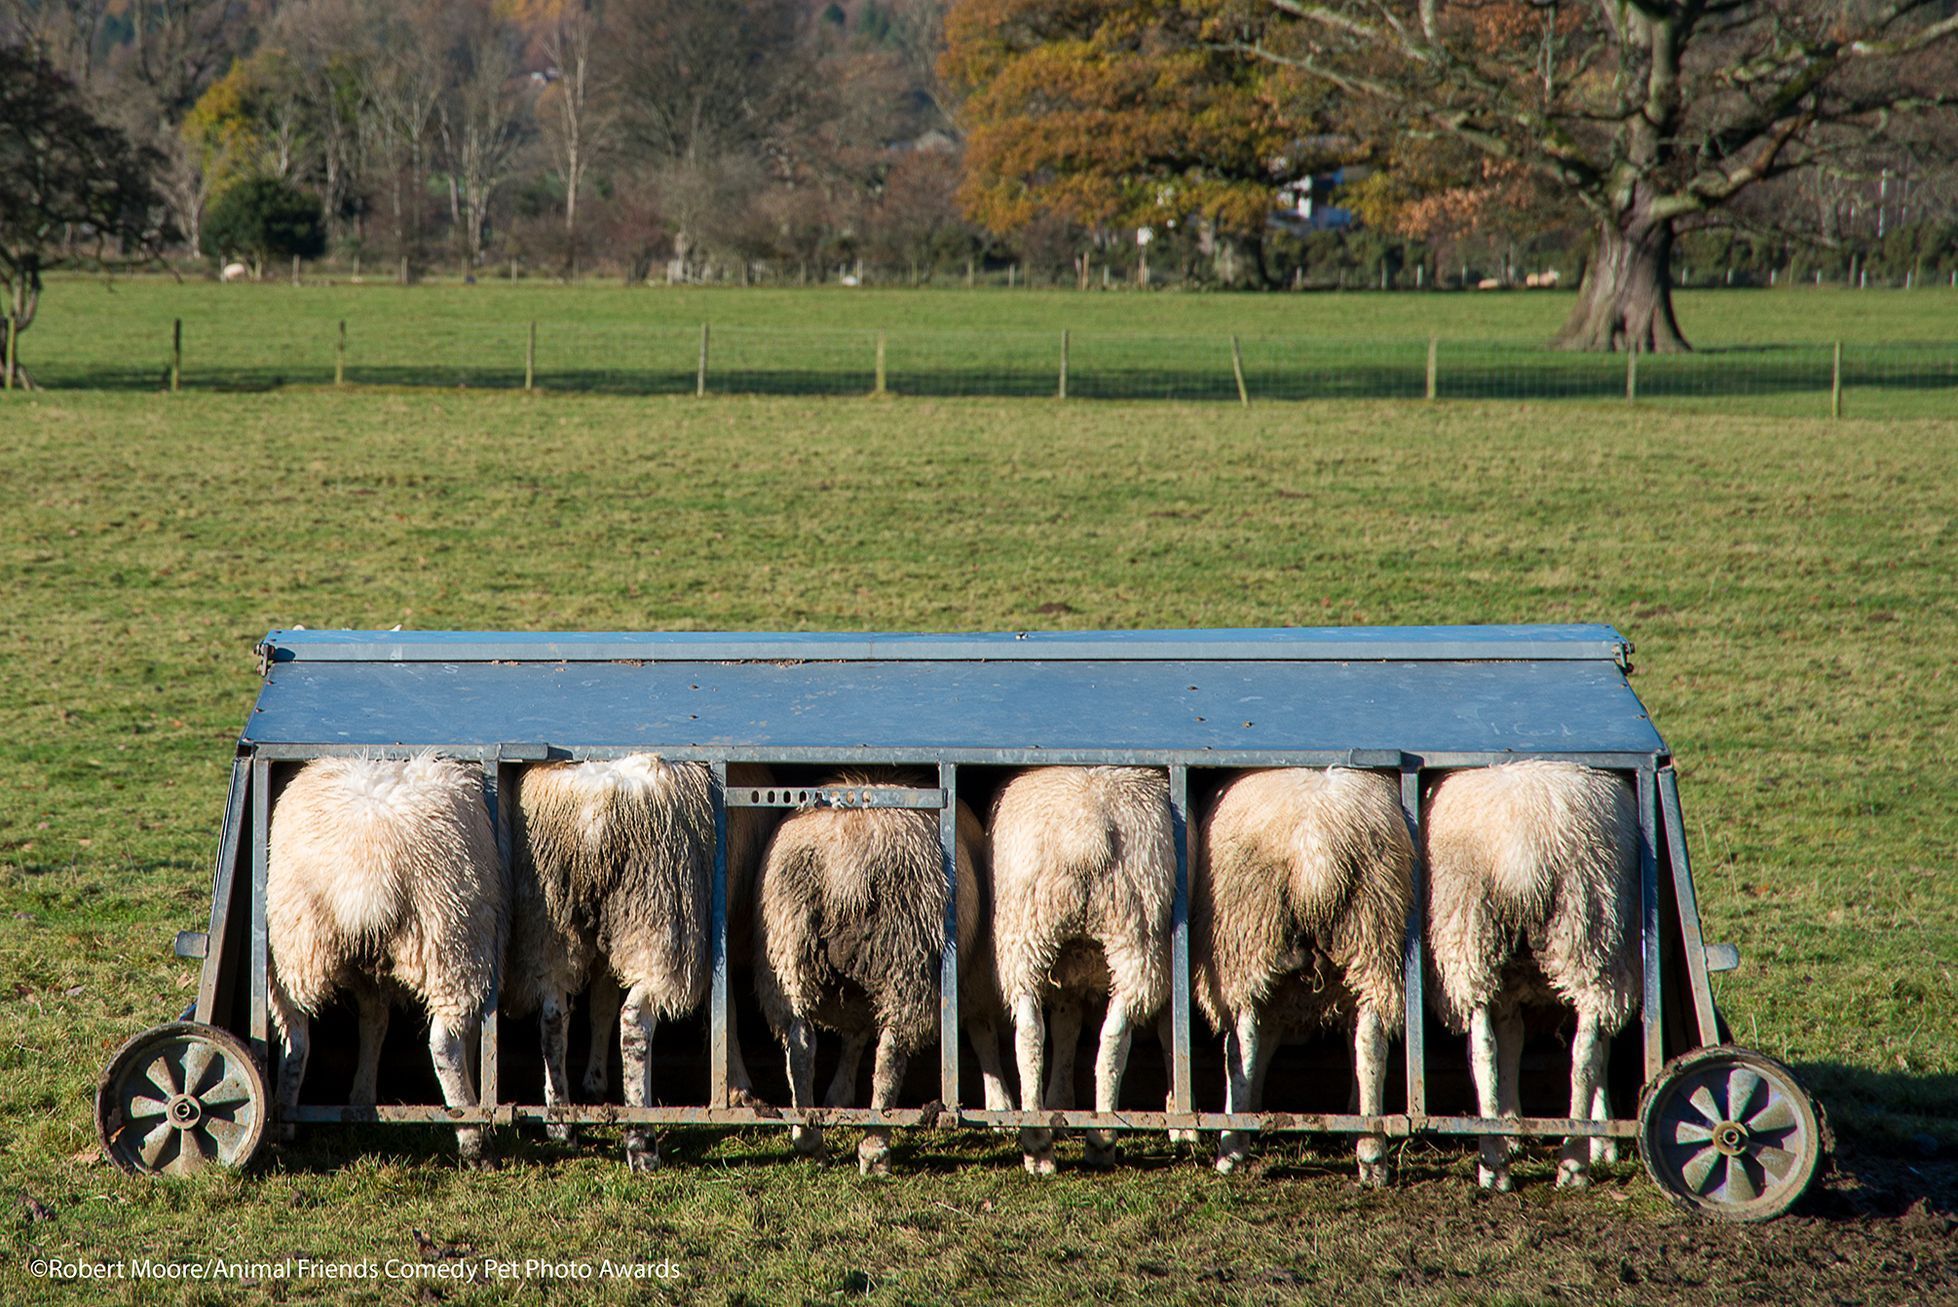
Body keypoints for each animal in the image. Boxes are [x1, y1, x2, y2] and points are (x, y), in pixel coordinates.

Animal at [266, 755, 505, 1166]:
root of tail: (366, 871)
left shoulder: (371, 975)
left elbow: (374, 1023)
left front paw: (361, 1100)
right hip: (452, 941)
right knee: (445, 1045)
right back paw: (472, 1137)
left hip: (297, 944)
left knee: (297, 1035)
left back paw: (288, 1122)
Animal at [751, 766, 1010, 1173]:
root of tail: (846, 861)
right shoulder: (976, 976)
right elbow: (984, 1036)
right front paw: (1001, 1106)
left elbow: (854, 1037)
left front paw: (839, 1095)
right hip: (908, 952)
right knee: (890, 1053)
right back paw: (876, 1145)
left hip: (787, 947)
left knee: (800, 1043)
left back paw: (807, 1135)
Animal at [986, 766, 1166, 1173]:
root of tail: (1086, 831)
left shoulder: (1068, 975)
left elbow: (1065, 1028)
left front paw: (1058, 1105)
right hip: (1136, 935)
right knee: (1114, 1035)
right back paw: (1099, 1139)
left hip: (1031, 931)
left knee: (1031, 1032)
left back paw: (1040, 1142)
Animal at [1182, 766, 1417, 1181]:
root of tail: (1317, 854)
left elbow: (1255, 1051)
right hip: (1373, 931)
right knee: (1371, 1044)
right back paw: (1372, 1150)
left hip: (1246, 936)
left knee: (1241, 1043)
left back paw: (1230, 1146)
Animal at [1417, 755, 1644, 1197]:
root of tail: (1522, 850)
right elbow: (1598, 1051)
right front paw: (1603, 1141)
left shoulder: (1508, 987)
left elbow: (1510, 1043)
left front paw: (1511, 1129)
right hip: (1589, 930)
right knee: (1583, 1052)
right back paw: (1573, 1161)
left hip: (1478, 935)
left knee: (1485, 1049)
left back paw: (1497, 1163)